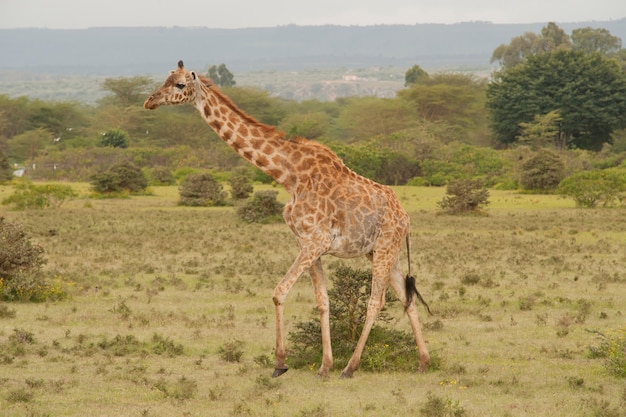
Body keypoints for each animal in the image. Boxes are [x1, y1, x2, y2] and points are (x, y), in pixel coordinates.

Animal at [145, 61, 428, 376]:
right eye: (165, 79)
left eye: (180, 85)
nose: (150, 101)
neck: (288, 176)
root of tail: (405, 216)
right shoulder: (308, 244)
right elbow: (322, 301)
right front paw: (324, 365)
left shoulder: (315, 242)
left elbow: (279, 292)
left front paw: (280, 363)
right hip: (381, 252)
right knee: (406, 297)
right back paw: (423, 361)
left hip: (386, 248)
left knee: (376, 301)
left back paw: (351, 367)